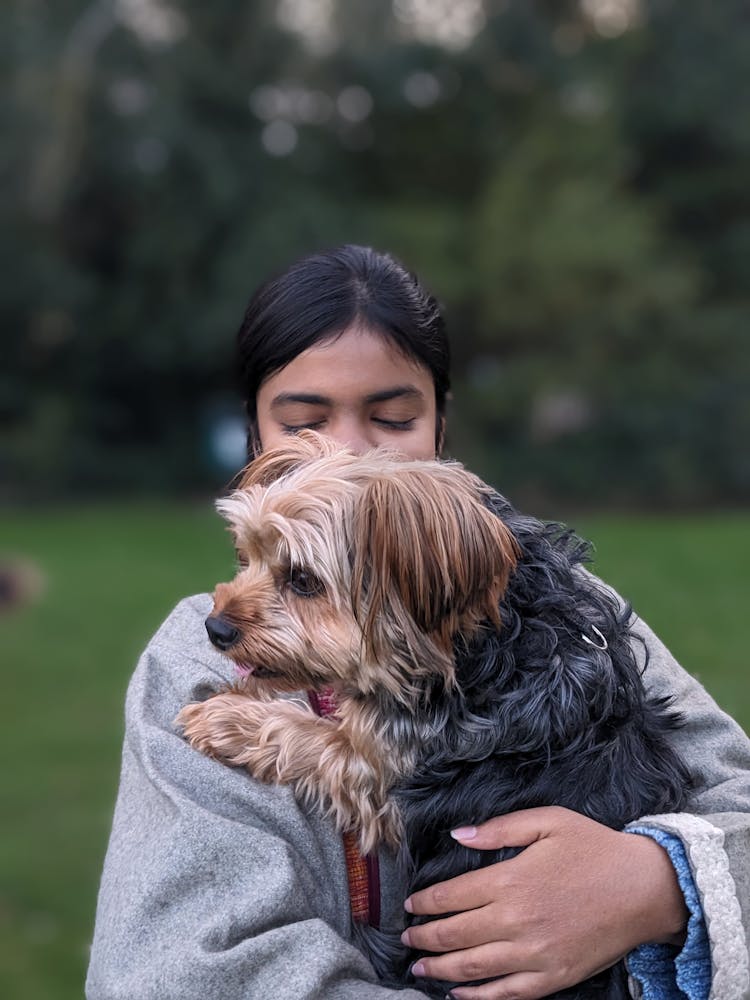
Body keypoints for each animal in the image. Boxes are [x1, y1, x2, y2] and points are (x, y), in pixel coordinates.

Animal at [178, 432, 692, 1000]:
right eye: (245, 556)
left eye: (304, 580)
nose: (216, 628)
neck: (493, 634)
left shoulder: (385, 765)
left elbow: (305, 735)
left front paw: (223, 716)